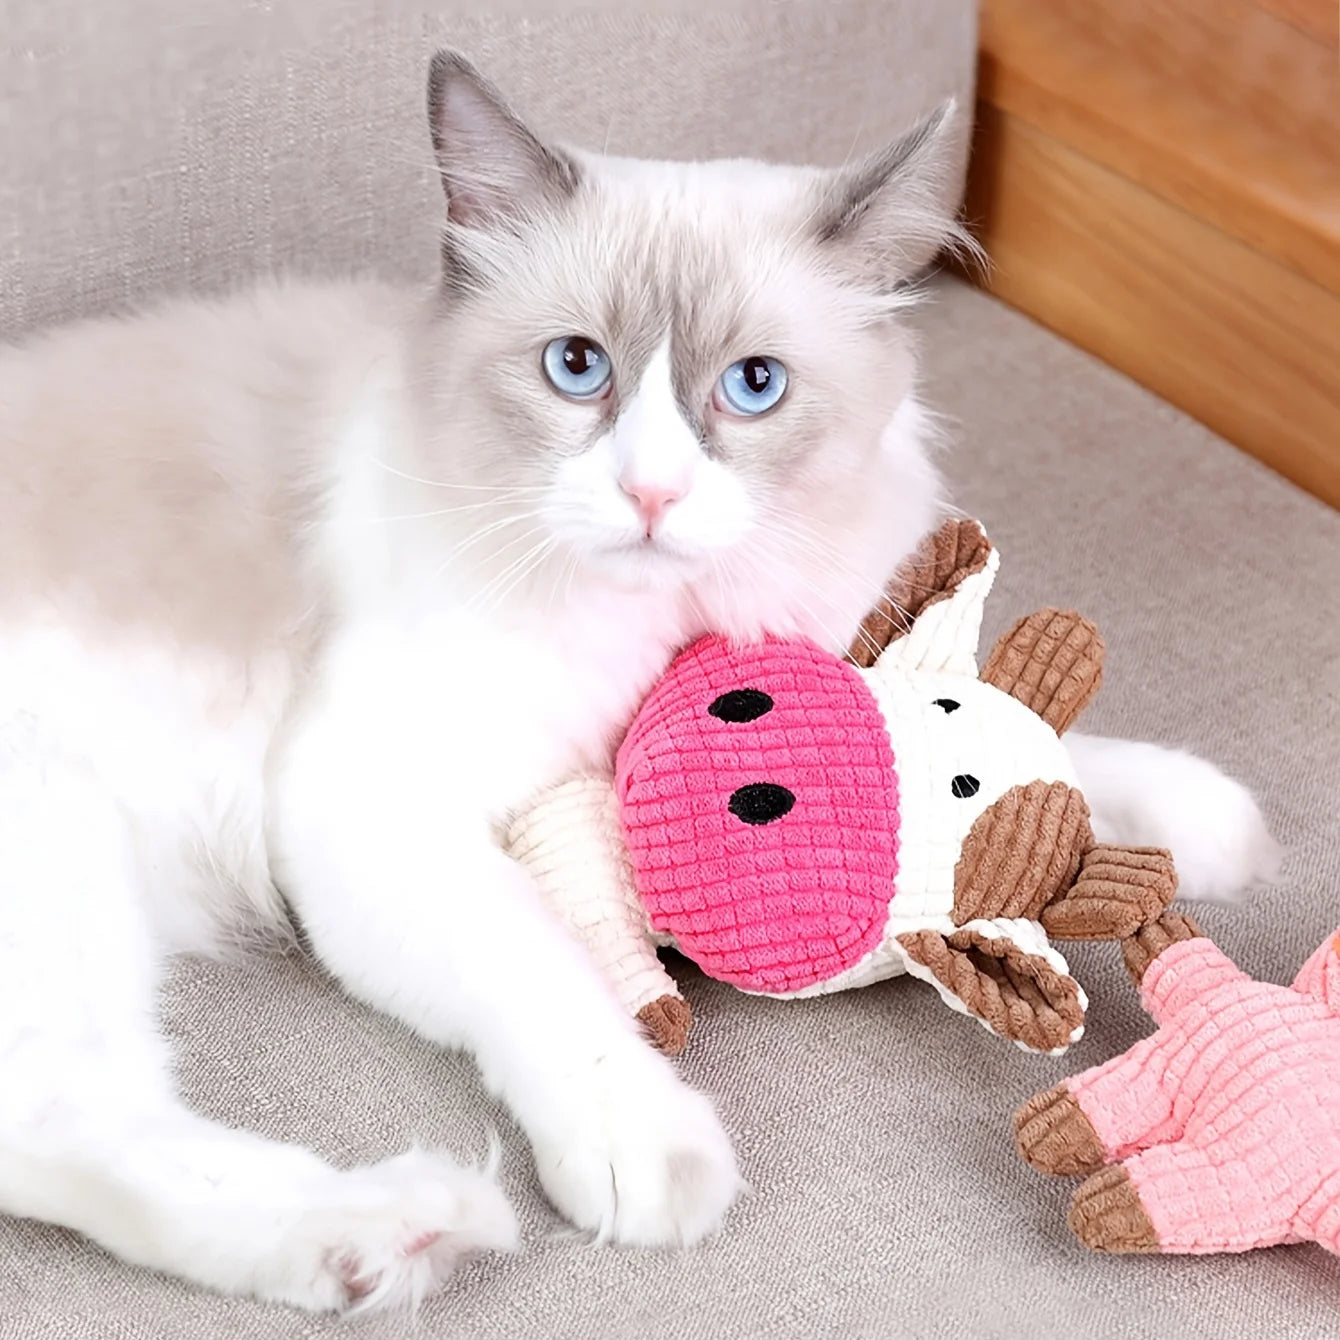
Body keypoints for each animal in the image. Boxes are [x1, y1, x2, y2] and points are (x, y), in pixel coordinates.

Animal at [0, 49, 1275, 1307]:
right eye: (577, 368)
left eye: (753, 385)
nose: (651, 493)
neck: (660, 631)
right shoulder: (367, 806)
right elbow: (548, 978)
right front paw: (647, 1144)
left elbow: (1032, 751)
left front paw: (1203, 830)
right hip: (61, 855)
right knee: (68, 1128)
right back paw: (411, 1228)